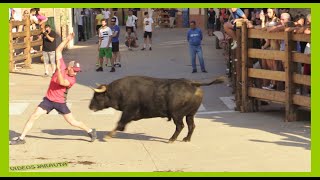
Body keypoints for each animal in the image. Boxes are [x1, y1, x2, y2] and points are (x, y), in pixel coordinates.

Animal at [89, 75, 225, 143]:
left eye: (97, 96)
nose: (90, 106)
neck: (119, 91)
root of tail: (193, 83)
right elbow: (121, 124)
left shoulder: (128, 112)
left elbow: (120, 123)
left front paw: (108, 136)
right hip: (190, 114)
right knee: (191, 126)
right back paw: (186, 139)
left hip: (177, 115)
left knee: (180, 126)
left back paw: (171, 139)